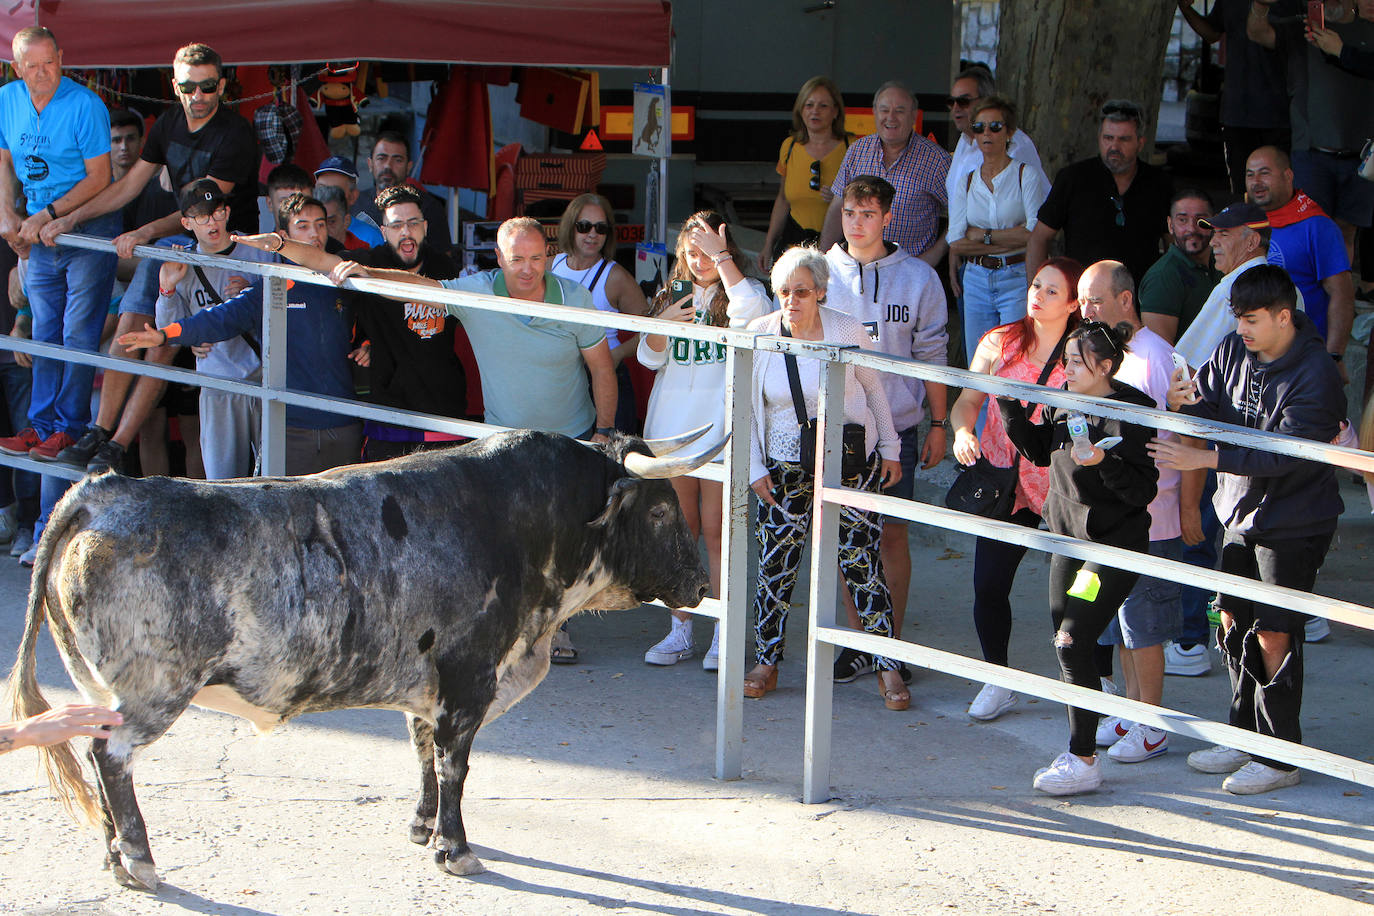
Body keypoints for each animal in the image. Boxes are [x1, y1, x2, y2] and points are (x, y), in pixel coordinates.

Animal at [8, 428, 719, 889]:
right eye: (662, 510)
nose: (701, 582)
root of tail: (106, 491)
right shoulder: (467, 680)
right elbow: (455, 764)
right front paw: (455, 849)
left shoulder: (427, 688)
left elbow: (424, 754)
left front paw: (422, 828)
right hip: (152, 692)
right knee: (111, 759)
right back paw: (140, 859)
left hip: (99, 691)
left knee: (95, 757)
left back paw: (113, 857)